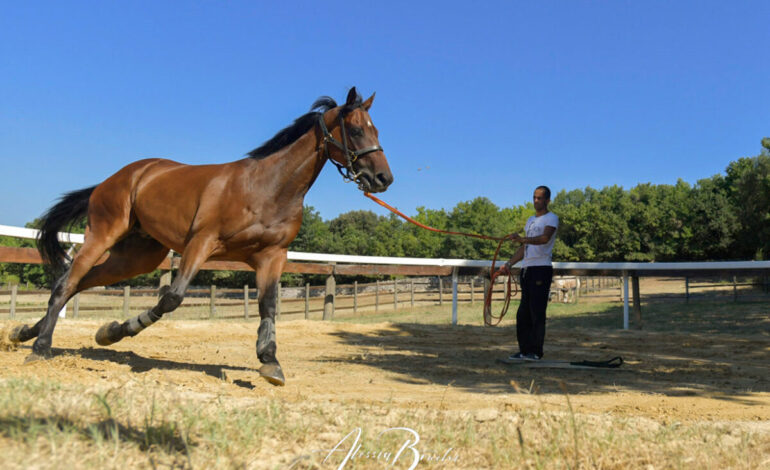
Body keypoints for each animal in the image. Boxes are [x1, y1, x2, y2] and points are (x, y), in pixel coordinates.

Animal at [10, 88, 396, 386]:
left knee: (81, 283)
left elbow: (268, 305)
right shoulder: (201, 243)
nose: (383, 179)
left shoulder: (273, 256)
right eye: (356, 130)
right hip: (103, 234)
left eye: (377, 130)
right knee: (67, 282)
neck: (266, 188)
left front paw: (270, 362)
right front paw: (118, 329)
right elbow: (171, 298)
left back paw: (25, 333)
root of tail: (117, 178)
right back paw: (40, 348)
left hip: (136, 257)